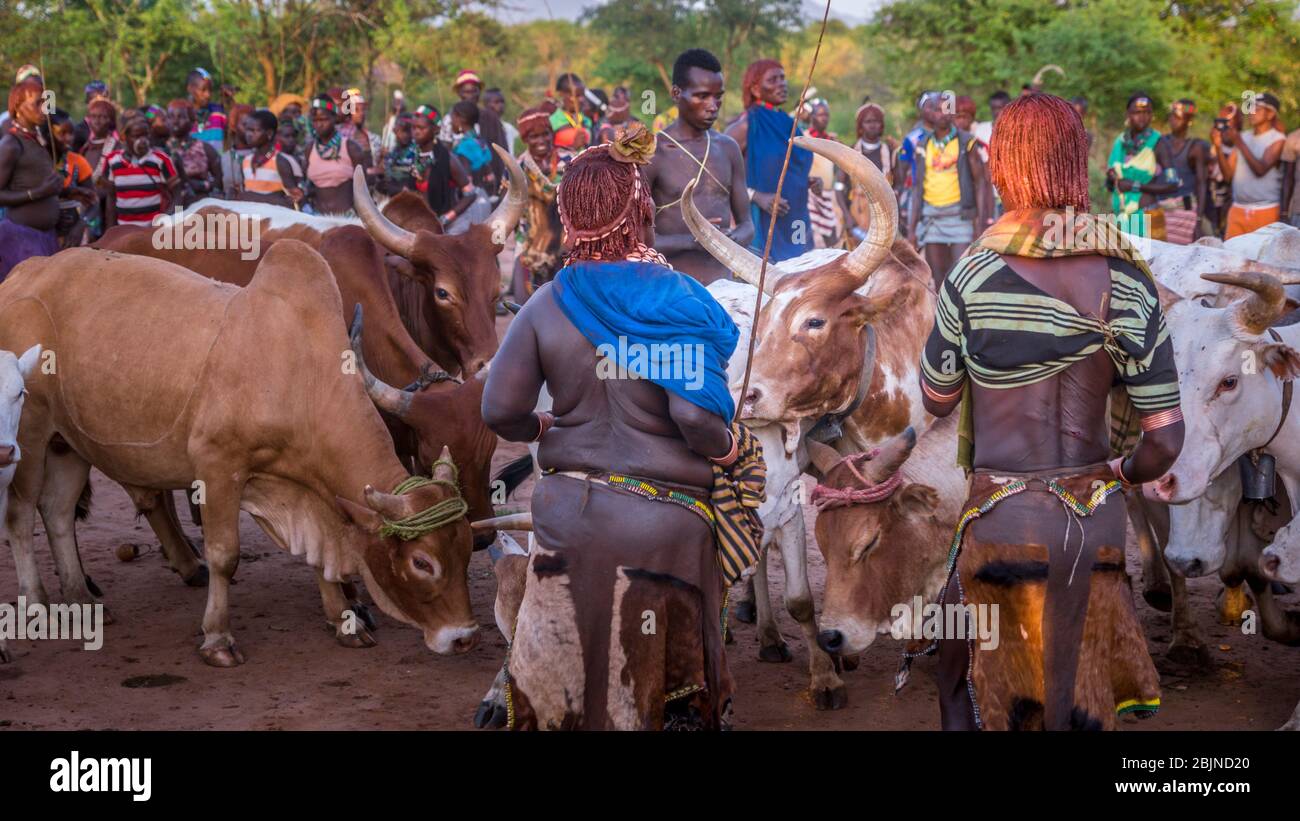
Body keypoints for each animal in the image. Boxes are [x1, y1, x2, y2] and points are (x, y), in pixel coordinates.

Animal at [1, 240, 478, 665]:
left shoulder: (315, 492)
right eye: (422, 562)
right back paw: (38, 604)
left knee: (58, 512)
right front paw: (217, 640)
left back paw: (80, 599)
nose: (463, 638)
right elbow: (223, 556)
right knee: (21, 514)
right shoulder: (218, 465)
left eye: (468, 546)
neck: (300, 373)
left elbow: (319, 557)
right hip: (29, 437)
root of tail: (21, 275)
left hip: (69, 445)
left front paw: (344, 622)